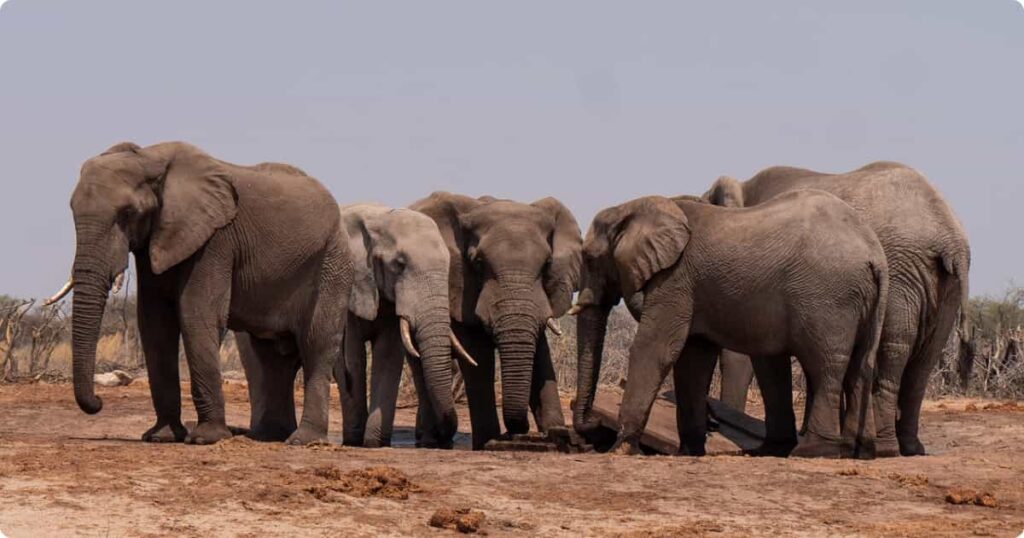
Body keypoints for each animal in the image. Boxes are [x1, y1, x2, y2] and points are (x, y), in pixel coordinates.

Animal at [47, 141, 353, 445]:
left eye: (127, 213)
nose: (99, 402)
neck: (150, 158)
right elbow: (154, 322)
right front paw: (161, 437)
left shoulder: (216, 239)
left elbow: (196, 314)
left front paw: (206, 438)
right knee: (271, 357)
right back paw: (267, 436)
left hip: (332, 263)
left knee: (316, 344)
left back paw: (304, 440)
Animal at [409, 192, 582, 449]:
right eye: (478, 263)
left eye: (547, 264)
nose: (519, 431)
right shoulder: (461, 287)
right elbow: (477, 352)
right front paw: (488, 441)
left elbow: (539, 351)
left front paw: (556, 433)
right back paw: (429, 440)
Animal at [572, 191, 888, 458]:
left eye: (589, 258)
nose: (590, 426)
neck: (637, 207)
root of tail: (874, 254)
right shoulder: (692, 287)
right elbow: (693, 360)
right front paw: (689, 451)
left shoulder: (675, 280)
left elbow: (656, 348)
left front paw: (621, 449)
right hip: (858, 301)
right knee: (859, 366)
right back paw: (857, 450)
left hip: (829, 299)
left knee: (825, 367)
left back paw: (812, 451)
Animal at [702, 162, 971, 456]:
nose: (713, 423)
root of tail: (950, 236)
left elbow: (751, 353)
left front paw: (771, 448)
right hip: (944, 286)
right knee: (923, 361)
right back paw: (910, 448)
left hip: (902, 272)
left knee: (892, 350)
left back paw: (884, 448)